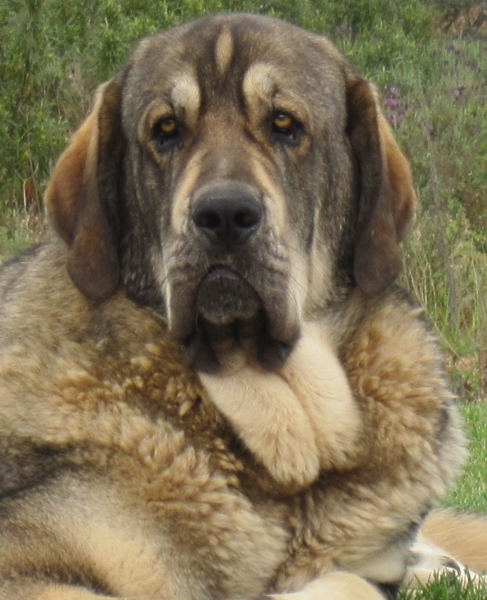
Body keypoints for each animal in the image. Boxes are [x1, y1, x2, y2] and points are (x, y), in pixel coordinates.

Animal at [0, 12, 482, 600]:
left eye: (284, 123)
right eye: (166, 130)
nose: (224, 213)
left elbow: (356, 576)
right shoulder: (26, 564)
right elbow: (349, 581)